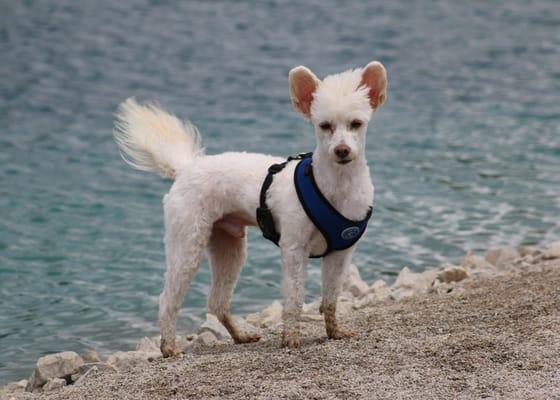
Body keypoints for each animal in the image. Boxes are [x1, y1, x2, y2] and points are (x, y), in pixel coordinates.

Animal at [112, 61, 388, 354]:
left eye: (356, 124)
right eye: (324, 126)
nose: (342, 150)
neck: (335, 185)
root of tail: (186, 167)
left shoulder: (341, 253)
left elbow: (332, 298)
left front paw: (334, 332)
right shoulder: (294, 249)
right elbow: (295, 298)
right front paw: (291, 338)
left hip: (229, 248)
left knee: (216, 302)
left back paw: (240, 336)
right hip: (187, 245)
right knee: (168, 300)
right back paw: (169, 347)